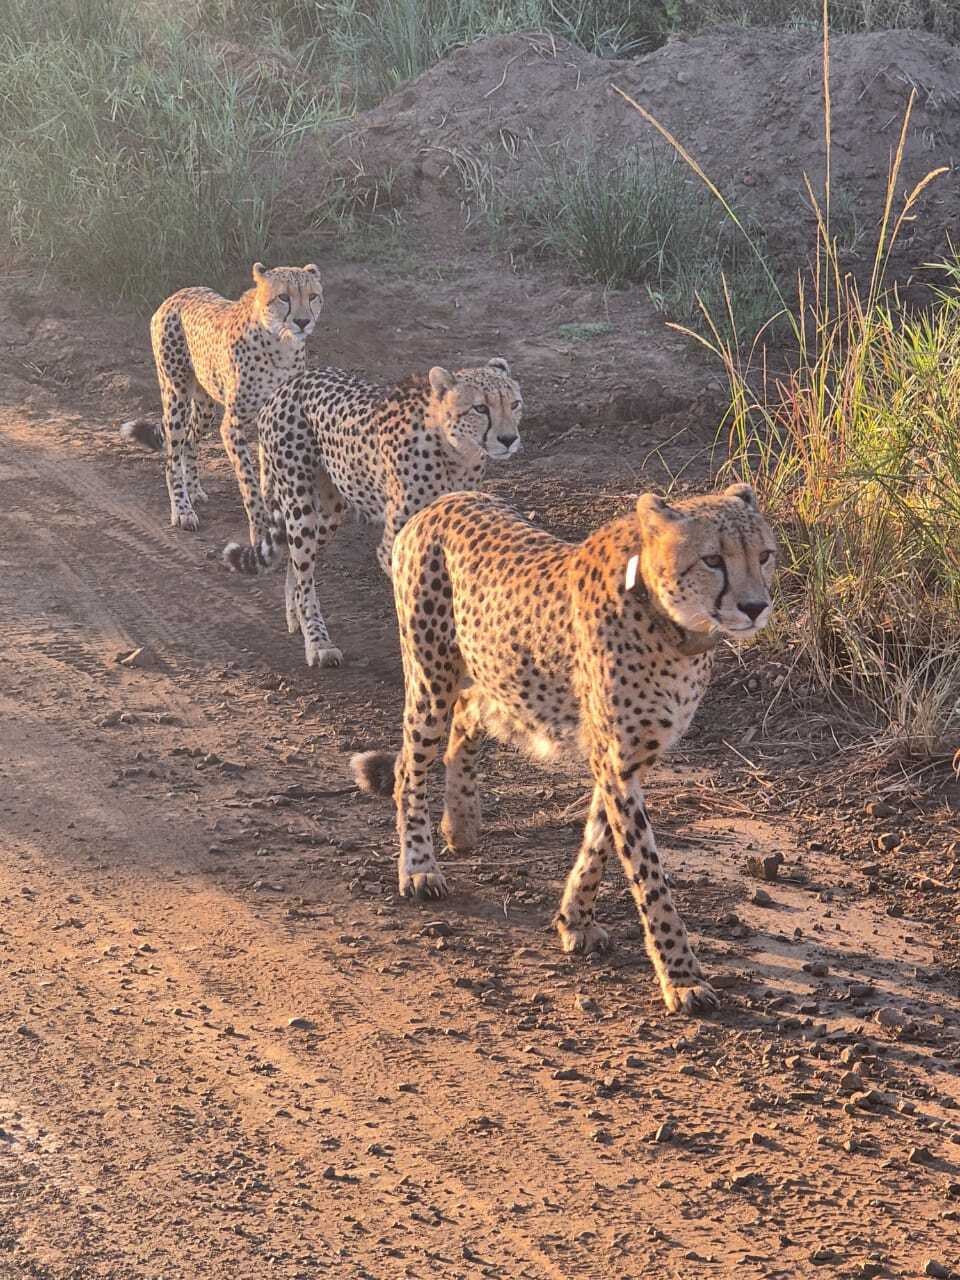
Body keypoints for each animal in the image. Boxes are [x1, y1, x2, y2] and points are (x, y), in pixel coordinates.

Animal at [120, 262, 323, 538]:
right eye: (283, 297)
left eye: (312, 296)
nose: (303, 321)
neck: (281, 344)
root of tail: (178, 294)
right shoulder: (232, 426)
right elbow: (248, 479)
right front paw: (259, 525)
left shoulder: (273, 419)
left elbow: (267, 474)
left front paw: (272, 509)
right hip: (175, 395)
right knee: (171, 457)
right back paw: (182, 510)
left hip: (205, 407)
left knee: (189, 442)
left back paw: (194, 489)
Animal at [221, 357, 523, 670]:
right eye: (480, 408)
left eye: (514, 404)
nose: (509, 438)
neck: (455, 452)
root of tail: (290, 383)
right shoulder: (394, 545)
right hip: (299, 504)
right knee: (304, 574)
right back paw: (318, 643)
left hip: (329, 510)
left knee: (297, 566)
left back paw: (296, 617)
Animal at [350, 483, 776, 1016]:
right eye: (713, 559)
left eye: (764, 555)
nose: (756, 606)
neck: (670, 623)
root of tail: (448, 499)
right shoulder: (616, 760)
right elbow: (648, 876)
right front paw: (681, 976)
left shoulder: (627, 759)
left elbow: (598, 842)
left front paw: (574, 919)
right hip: (431, 677)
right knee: (411, 765)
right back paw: (420, 868)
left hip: (502, 677)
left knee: (469, 711)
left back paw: (461, 824)